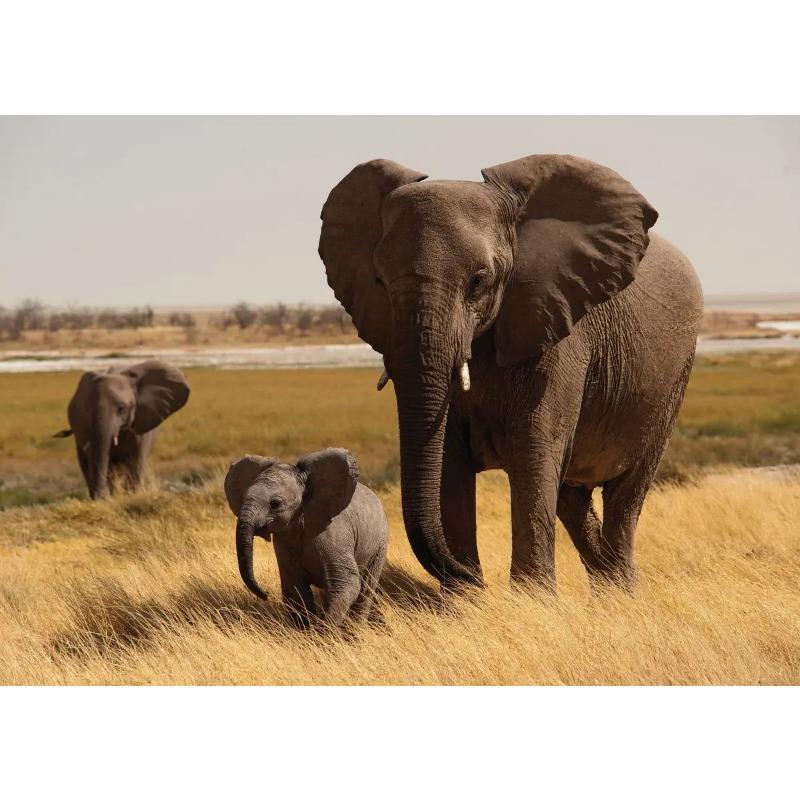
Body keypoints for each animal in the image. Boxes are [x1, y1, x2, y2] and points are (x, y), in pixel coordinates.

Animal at [224, 448, 389, 627]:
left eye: (275, 504)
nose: (266, 595)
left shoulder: (333, 533)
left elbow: (345, 582)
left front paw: (324, 630)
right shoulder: (285, 540)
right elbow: (295, 589)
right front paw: (306, 631)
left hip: (380, 544)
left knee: (366, 587)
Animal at [319, 154, 703, 591]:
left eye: (479, 280)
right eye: (379, 280)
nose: (474, 577)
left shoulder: (555, 326)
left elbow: (533, 452)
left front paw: (530, 598)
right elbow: (449, 463)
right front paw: (466, 599)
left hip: (673, 379)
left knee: (626, 493)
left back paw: (622, 590)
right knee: (572, 498)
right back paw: (608, 589)